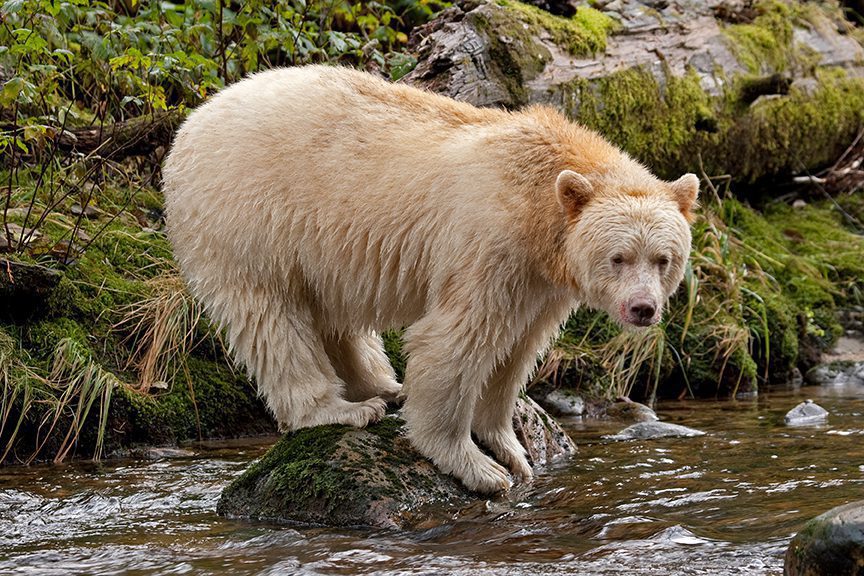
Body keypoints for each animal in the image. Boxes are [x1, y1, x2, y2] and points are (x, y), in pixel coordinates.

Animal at [162, 65, 698, 494]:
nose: (643, 309)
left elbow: (517, 351)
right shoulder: (489, 246)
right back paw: (341, 408)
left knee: (331, 314)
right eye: (618, 258)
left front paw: (511, 449)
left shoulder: (540, 280)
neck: (536, 202)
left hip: (317, 246)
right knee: (271, 319)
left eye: (664, 259)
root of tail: (191, 123)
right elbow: (456, 341)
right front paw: (478, 467)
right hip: (249, 218)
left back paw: (382, 385)